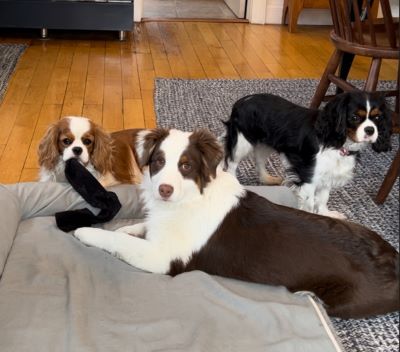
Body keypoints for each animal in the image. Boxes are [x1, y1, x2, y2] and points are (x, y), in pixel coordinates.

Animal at [73, 129, 398, 320]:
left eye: (186, 166)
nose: (163, 190)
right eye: (158, 162)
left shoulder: (163, 259)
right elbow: (137, 229)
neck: (189, 197)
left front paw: (86, 232)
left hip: (347, 303)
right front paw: (127, 227)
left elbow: (120, 241)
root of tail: (393, 258)